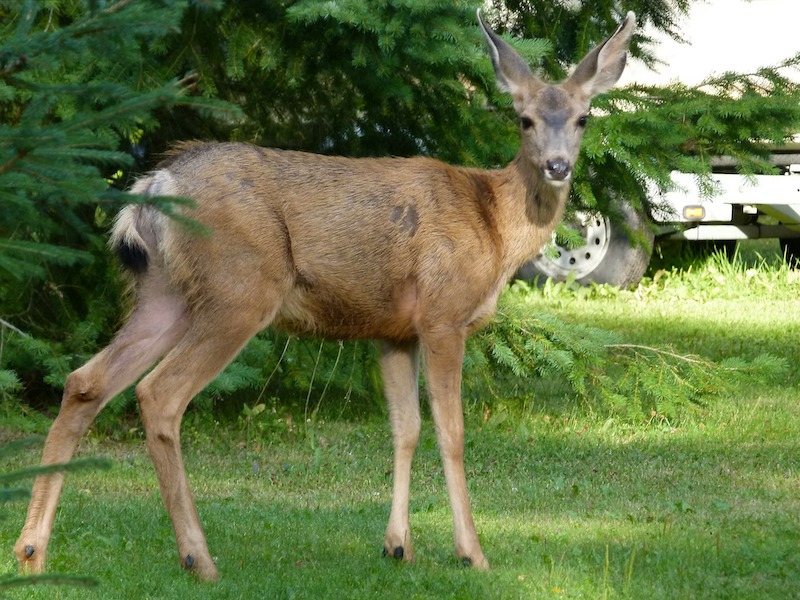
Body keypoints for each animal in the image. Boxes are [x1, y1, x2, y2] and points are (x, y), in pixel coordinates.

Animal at [14, 10, 636, 580]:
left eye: (583, 117)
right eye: (524, 118)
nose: (557, 166)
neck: (495, 227)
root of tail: (154, 185)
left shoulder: (394, 331)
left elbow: (405, 429)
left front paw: (398, 546)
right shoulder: (443, 315)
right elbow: (452, 433)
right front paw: (472, 553)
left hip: (165, 294)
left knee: (86, 381)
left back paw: (31, 552)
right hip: (241, 289)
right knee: (158, 394)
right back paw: (199, 558)